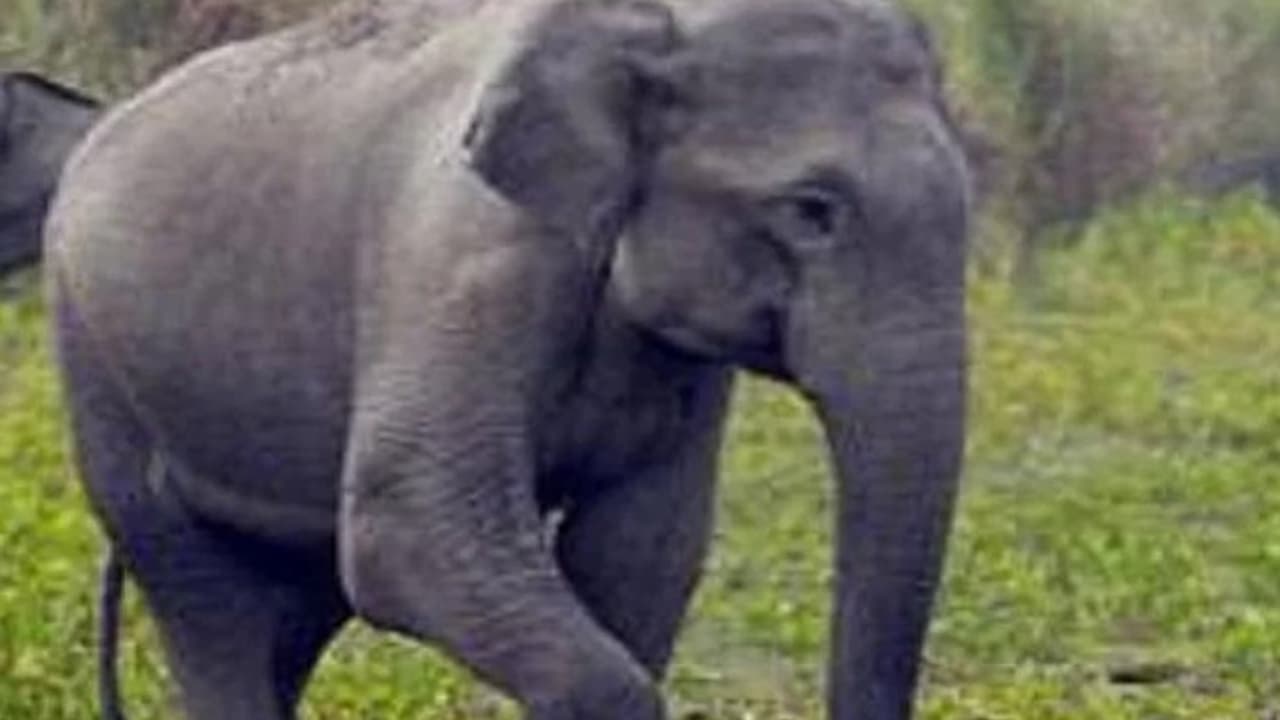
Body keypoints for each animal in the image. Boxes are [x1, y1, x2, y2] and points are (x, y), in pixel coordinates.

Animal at [45, 0, 970, 718]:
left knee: (291, 610)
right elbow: (406, 528)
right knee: (211, 607)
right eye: (812, 211)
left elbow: (641, 547)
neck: (643, 25)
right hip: (97, 368)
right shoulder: (466, 257)